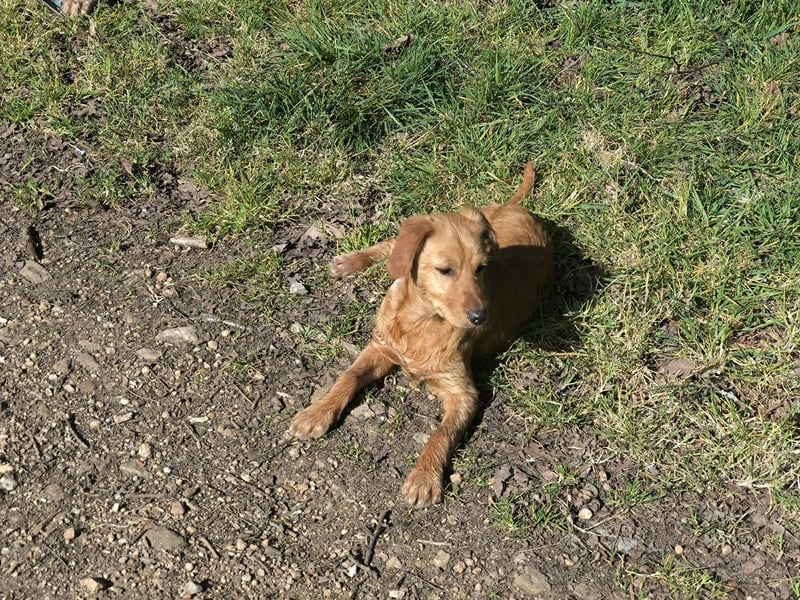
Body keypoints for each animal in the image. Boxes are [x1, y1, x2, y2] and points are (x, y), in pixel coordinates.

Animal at [290, 162, 553, 507]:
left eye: (482, 269)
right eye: (445, 270)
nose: (480, 317)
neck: (420, 322)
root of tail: (517, 208)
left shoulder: (463, 392)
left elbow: (441, 433)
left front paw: (424, 477)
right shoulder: (380, 347)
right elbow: (348, 376)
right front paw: (317, 412)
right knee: (393, 246)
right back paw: (351, 261)